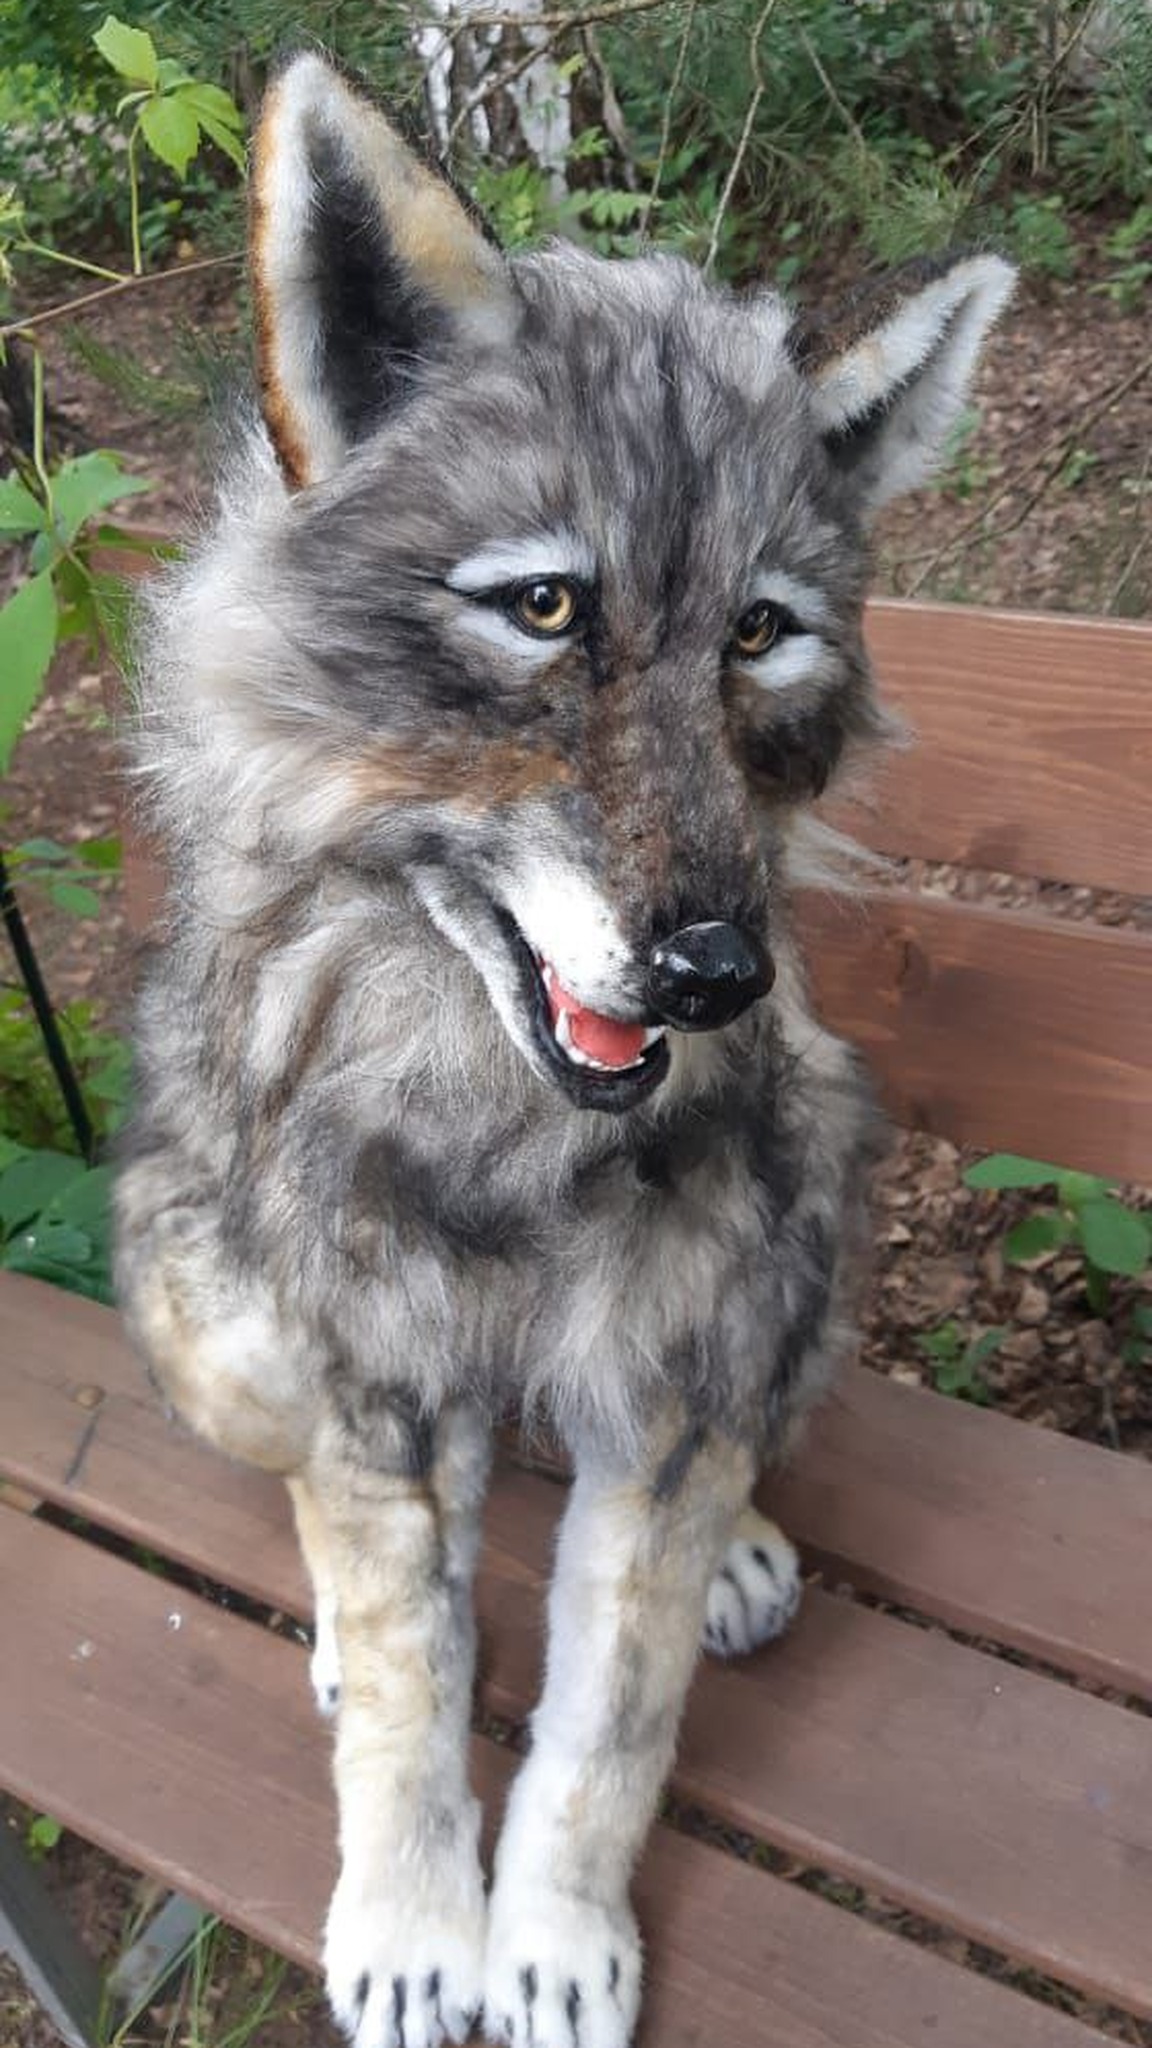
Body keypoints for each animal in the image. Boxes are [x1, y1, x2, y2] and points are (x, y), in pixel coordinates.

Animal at [114, 47, 1014, 2048]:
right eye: (542, 607)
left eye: (760, 633)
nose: (715, 973)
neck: (505, 1137)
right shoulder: (364, 1371)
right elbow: (407, 1683)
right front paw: (410, 1916)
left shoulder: (671, 1381)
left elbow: (613, 1720)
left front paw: (555, 1933)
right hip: (205, 1305)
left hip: (813, 1215)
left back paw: (743, 1542)